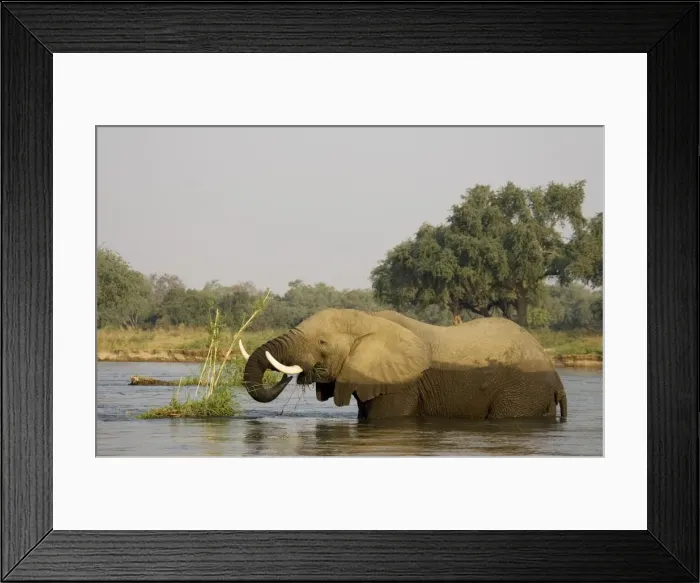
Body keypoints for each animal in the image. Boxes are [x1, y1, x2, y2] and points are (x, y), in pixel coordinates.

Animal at [240, 308, 567, 421]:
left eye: (322, 343)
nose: (287, 376)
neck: (369, 318)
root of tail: (556, 378)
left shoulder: (401, 385)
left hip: (521, 392)